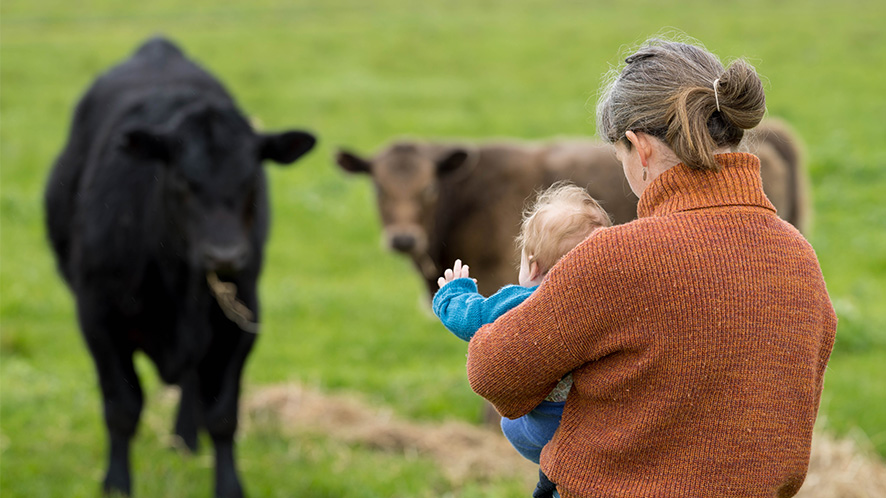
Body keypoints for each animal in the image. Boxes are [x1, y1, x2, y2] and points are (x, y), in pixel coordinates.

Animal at [44, 37, 320, 496]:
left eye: (252, 180)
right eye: (183, 182)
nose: (224, 256)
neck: (178, 279)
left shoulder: (240, 319)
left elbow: (223, 414)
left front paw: (229, 486)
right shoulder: (98, 317)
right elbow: (122, 407)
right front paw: (116, 483)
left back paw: (185, 439)